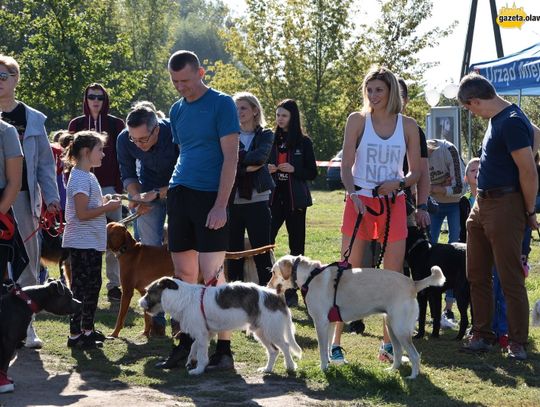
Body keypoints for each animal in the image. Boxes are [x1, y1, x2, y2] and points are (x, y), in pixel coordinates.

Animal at [106, 223, 274, 338]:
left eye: (111, 232)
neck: (129, 249)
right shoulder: (143, 292)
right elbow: (148, 317)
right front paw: (146, 333)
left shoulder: (127, 292)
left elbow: (120, 317)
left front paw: (114, 334)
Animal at [139, 278, 302, 376]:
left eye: (148, 292)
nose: (139, 303)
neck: (183, 298)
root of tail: (277, 297)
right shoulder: (206, 333)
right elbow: (193, 346)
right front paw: (190, 360)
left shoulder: (202, 334)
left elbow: (201, 354)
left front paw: (198, 370)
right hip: (261, 332)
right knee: (274, 351)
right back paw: (267, 369)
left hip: (272, 331)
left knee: (285, 346)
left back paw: (290, 366)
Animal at [268, 255, 446, 380]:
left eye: (274, 273)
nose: (267, 286)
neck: (310, 276)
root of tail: (413, 284)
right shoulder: (329, 324)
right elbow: (328, 348)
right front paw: (330, 364)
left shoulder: (320, 323)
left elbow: (322, 350)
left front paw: (323, 368)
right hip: (392, 327)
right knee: (398, 352)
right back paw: (391, 371)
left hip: (400, 329)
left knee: (415, 356)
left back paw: (413, 377)